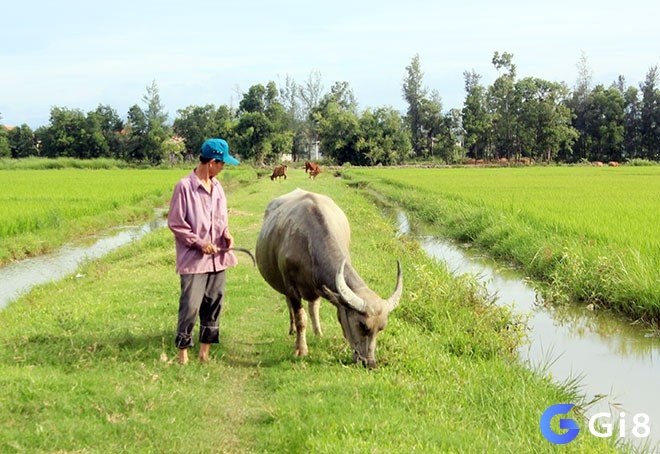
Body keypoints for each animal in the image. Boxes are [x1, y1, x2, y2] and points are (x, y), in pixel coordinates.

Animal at [256, 189, 402, 368]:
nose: (370, 363)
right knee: (289, 304)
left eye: (381, 327)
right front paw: (301, 350)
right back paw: (292, 329)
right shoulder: (290, 285)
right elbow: (300, 318)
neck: (307, 241)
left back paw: (318, 332)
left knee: (313, 307)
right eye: (362, 325)